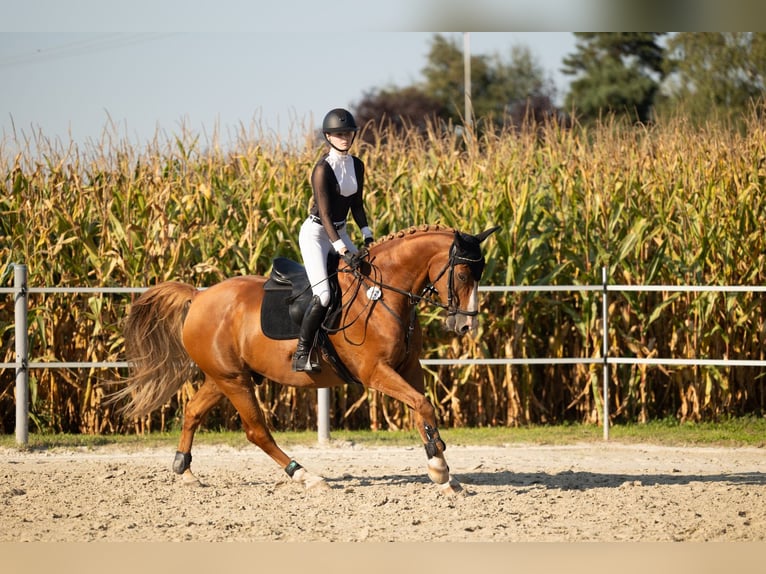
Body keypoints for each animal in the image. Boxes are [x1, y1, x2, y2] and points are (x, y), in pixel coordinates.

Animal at [112, 225, 498, 496]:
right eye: (463, 274)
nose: (466, 325)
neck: (382, 294)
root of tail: (199, 296)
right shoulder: (376, 373)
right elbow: (423, 405)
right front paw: (439, 468)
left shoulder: (407, 367)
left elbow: (423, 408)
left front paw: (442, 471)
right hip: (234, 381)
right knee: (256, 431)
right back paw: (307, 476)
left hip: (225, 377)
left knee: (192, 411)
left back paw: (186, 471)